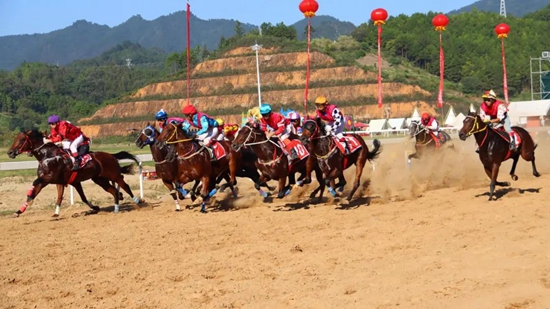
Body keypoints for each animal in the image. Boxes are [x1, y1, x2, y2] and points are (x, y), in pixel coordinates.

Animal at [7, 130, 144, 217]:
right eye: (15, 138)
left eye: (22, 139)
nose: (10, 152)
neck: (48, 156)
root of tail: (111, 155)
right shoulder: (66, 181)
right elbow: (68, 196)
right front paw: (19, 210)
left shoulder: (51, 177)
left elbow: (36, 182)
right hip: (100, 179)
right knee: (114, 190)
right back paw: (116, 208)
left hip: (113, 174)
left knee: (125, 185)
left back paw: (138, 201)